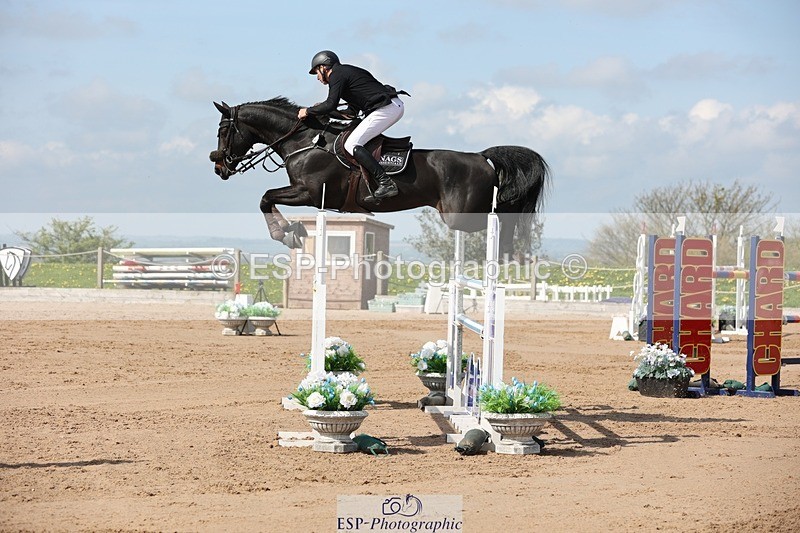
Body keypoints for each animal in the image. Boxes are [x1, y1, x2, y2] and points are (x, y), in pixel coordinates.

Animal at [209, 97, 550, 257]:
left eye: (224, 131)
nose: (219, 167)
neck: (305, 140)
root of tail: (482, 156)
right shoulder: (305, 193)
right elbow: (267, 199)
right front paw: (293, 232)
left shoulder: (309, 193)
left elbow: (265, 198)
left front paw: (286, 233)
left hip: (463, 215)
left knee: (504, 213)